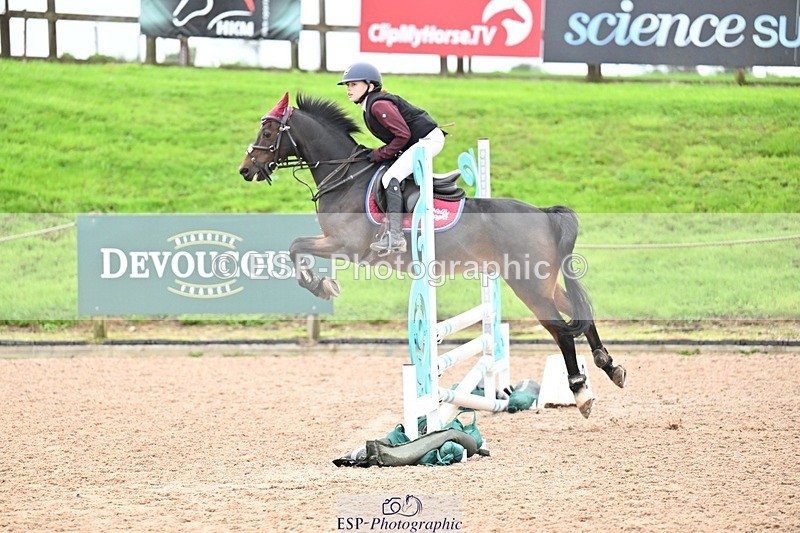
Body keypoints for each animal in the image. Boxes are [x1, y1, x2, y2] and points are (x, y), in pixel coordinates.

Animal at [238, 92, 626, 418]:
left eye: (268, 130)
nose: (246, 169)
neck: (345, 176)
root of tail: (544, 213)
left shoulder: (345, 245)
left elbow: (295, 246)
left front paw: (320, 286)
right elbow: (297, 247)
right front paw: (324, 284)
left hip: (528, 285)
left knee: (562, 331)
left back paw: (580, 391)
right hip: (542, 281)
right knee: (580, 313)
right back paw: (609, 367)